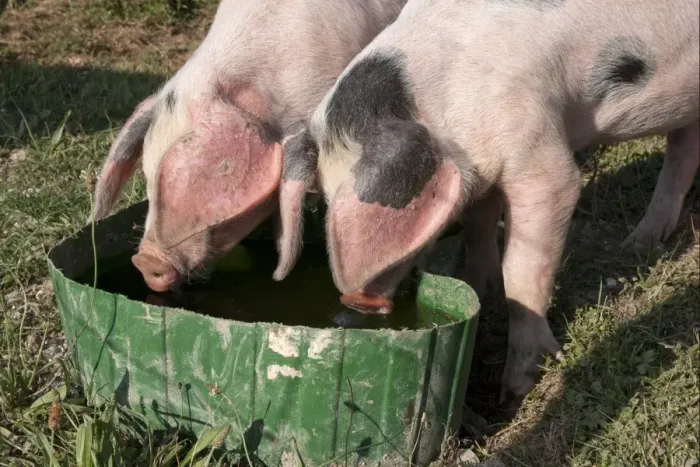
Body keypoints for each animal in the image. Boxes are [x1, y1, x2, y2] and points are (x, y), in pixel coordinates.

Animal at [276, 0, 699, 398]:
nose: (356, 304)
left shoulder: (540, 159)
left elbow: (524, 270)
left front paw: (515, 389)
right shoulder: (484, 170)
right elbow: (478, 227)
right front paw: (479, 289)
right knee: (683, 153)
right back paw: (640, 244)